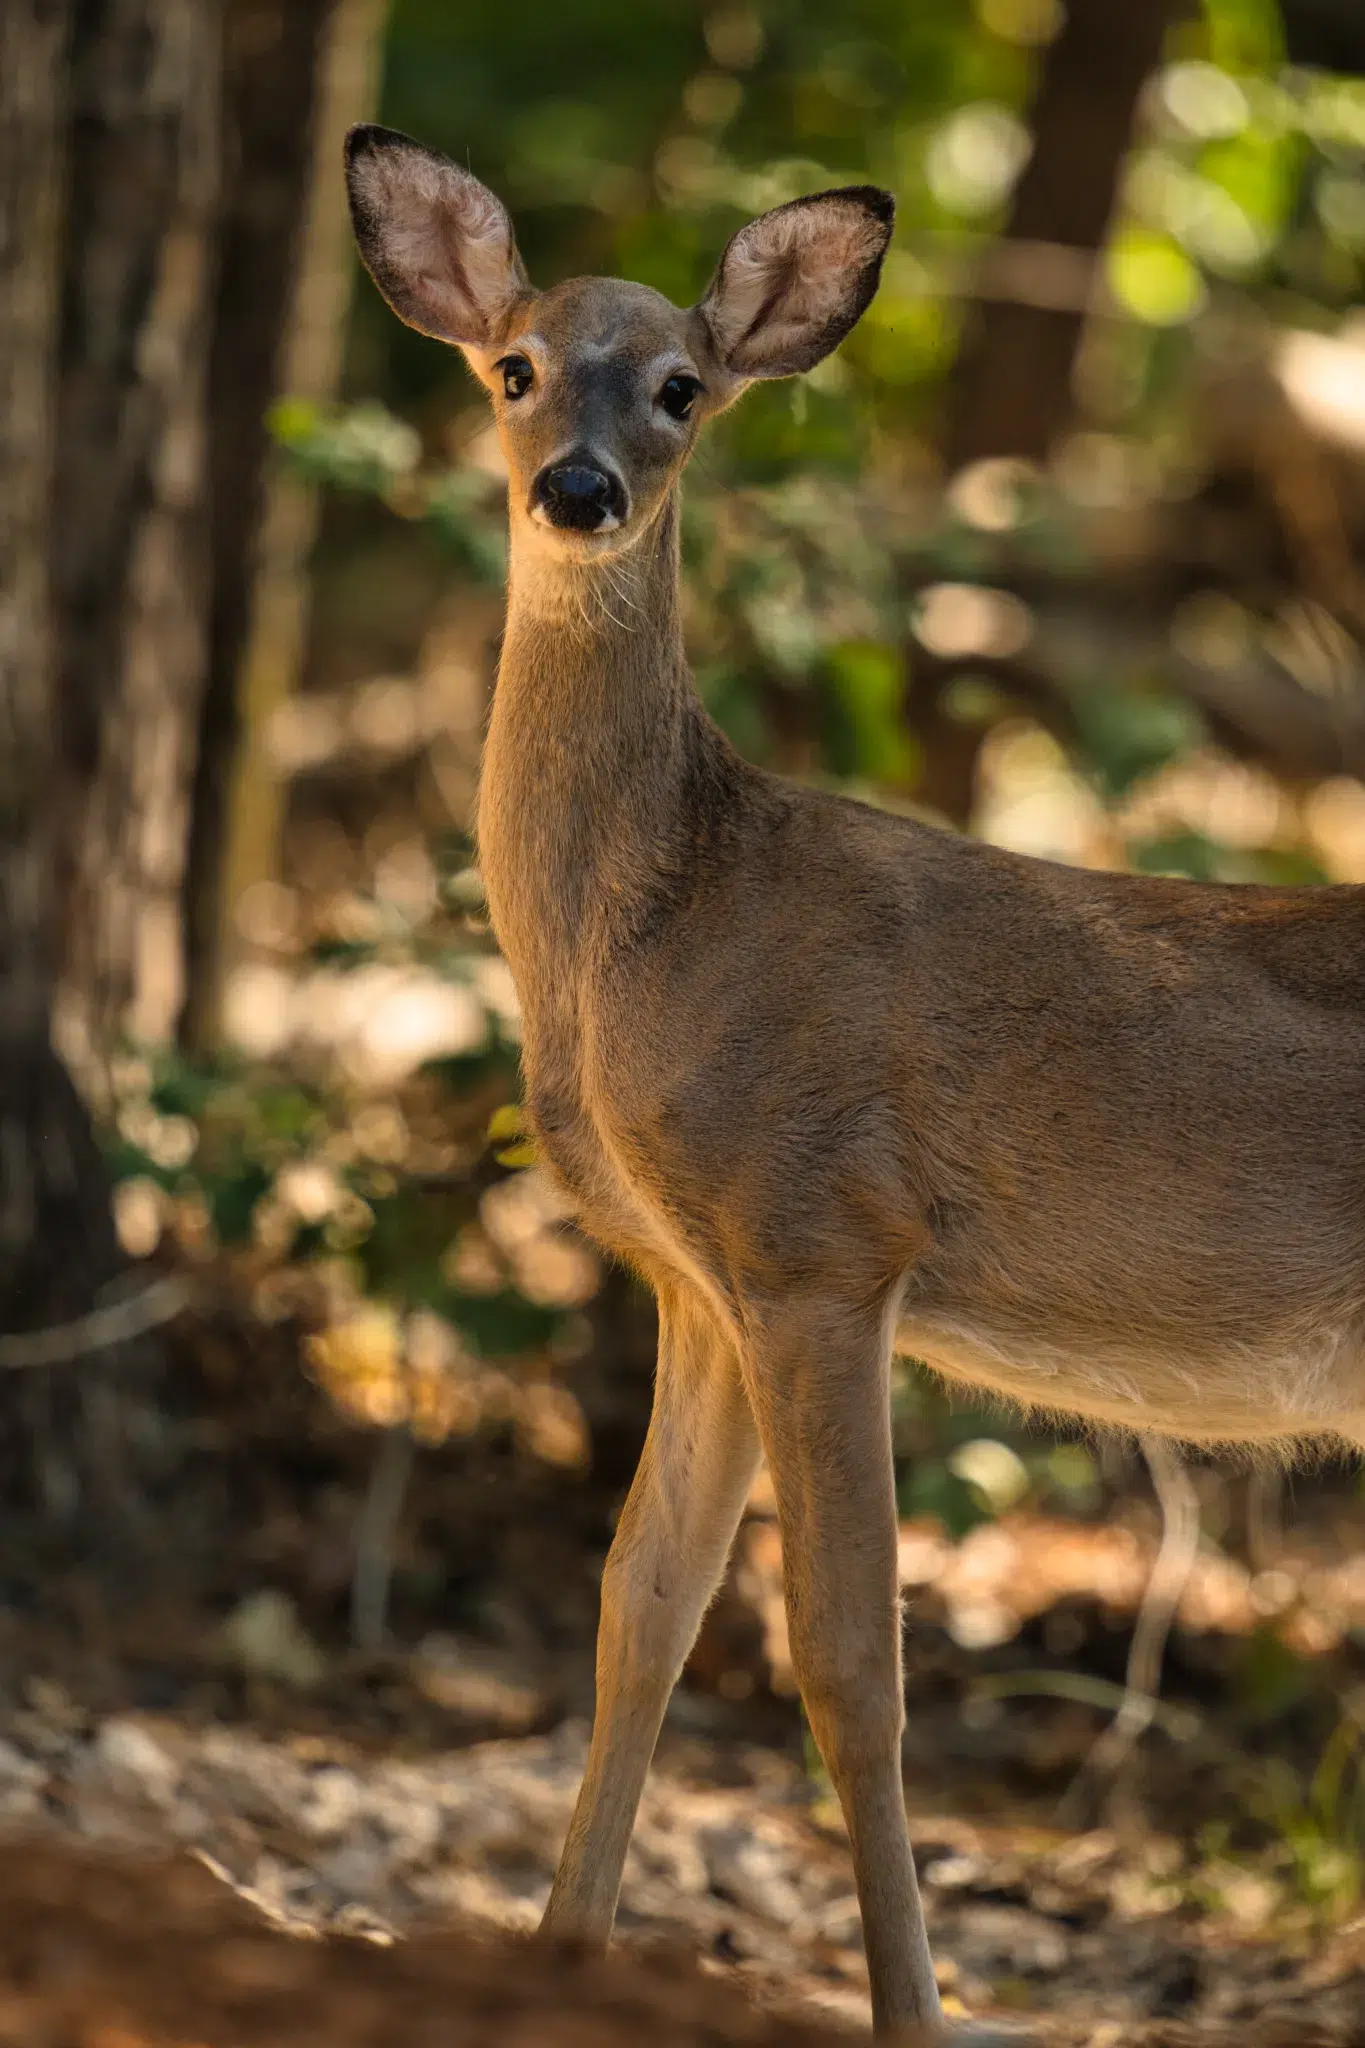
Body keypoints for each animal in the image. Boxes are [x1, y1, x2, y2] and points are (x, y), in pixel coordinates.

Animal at [345, 123, 1365, 2042]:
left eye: (680, 386)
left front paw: (911, 2008)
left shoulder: (823, 1235)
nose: (578, 489)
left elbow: (846, 1660)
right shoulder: (697, 1276)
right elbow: (642, 1605)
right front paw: (556, 1959)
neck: (655, 931)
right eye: (515, 365)